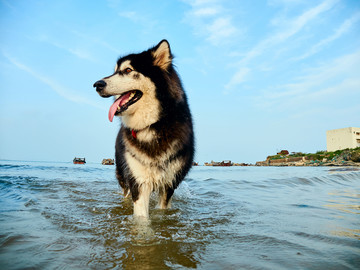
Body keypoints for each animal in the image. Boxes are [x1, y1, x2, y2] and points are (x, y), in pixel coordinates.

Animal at [93, 39, 194, 217]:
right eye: (114, 72)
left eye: (127, 70)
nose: (97, 85)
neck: (153, 126)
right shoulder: (138, 181)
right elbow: (141, 219)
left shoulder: (169, 184)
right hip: (123, 173)